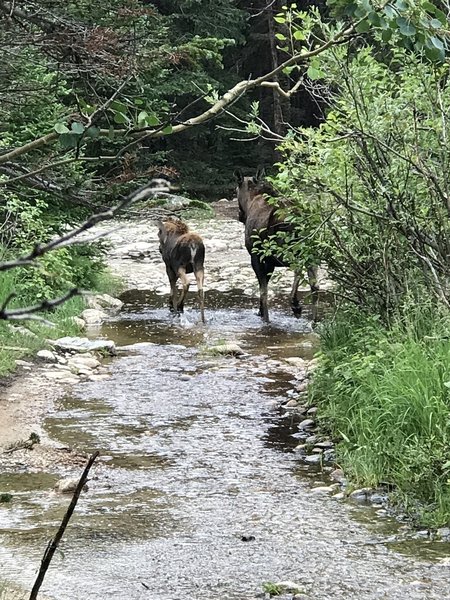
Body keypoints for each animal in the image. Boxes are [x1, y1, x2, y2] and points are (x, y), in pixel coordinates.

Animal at [234, 166, 318, 326]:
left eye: (235, 191)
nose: (240, 215)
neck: (250, 200)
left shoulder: (257, 257)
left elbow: (263, 291)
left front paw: (263, 316)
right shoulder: (270, 263)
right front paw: (260, 312)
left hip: (286, 249)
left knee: (298, 268)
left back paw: (294, 303)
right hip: (310, 249)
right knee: (314, 285)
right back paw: (314, 321)